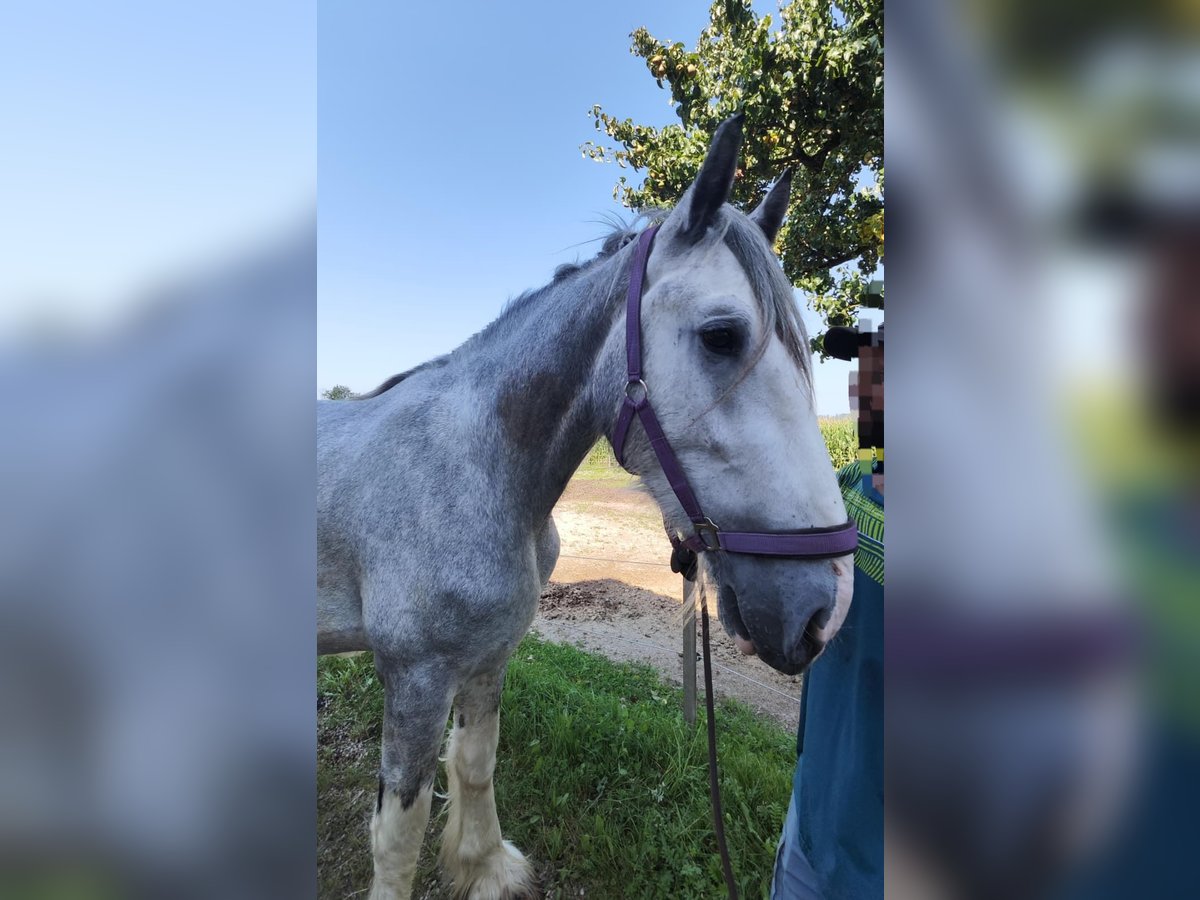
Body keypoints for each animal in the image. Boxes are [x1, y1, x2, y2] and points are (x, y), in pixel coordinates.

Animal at [317, 116, 855, 900]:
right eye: (721, 335)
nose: (823, 611)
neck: (476, 467)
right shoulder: (414, 677)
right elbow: (399, 833)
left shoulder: (489, 655)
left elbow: (474, 763)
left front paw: (485, 868)